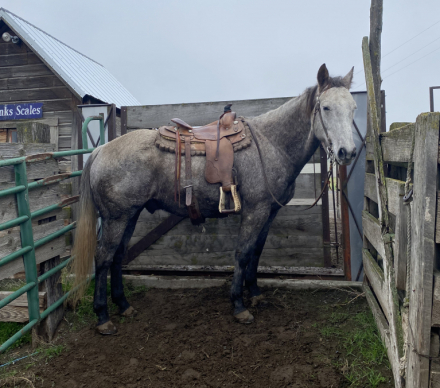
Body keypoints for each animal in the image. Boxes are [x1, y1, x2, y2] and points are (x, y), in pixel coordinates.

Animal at [70, 63, 356, 334]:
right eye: (326, 107)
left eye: (353, 108)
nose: (348, 152)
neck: (271, 145)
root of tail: (101, 149)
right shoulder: (255, 211)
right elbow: (243, 253)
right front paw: (239, 305)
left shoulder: (269, 212)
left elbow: (257, 252)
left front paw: (255, 294)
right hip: (116, 218)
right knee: (103, 257)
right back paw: (103, 316)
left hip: (130, 214)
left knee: (117, 256)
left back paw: (123, 305)